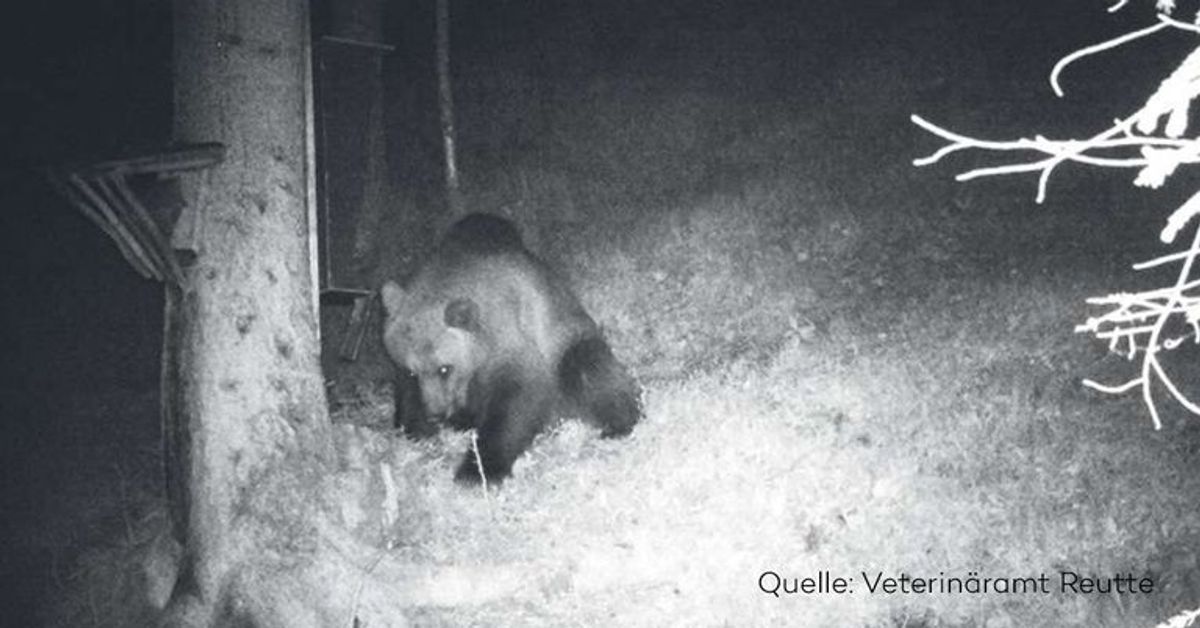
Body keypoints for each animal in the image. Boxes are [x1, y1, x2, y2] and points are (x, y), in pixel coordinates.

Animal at [384, 213, 648, 485]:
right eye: (413, 371)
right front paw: (419, 430)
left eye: (444, 368)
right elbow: (407, 398)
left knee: (591, 371)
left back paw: (617, 425)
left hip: (570, 349)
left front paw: (477, 470)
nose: (436, 413)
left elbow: (516, 400)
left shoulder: (511, 340)